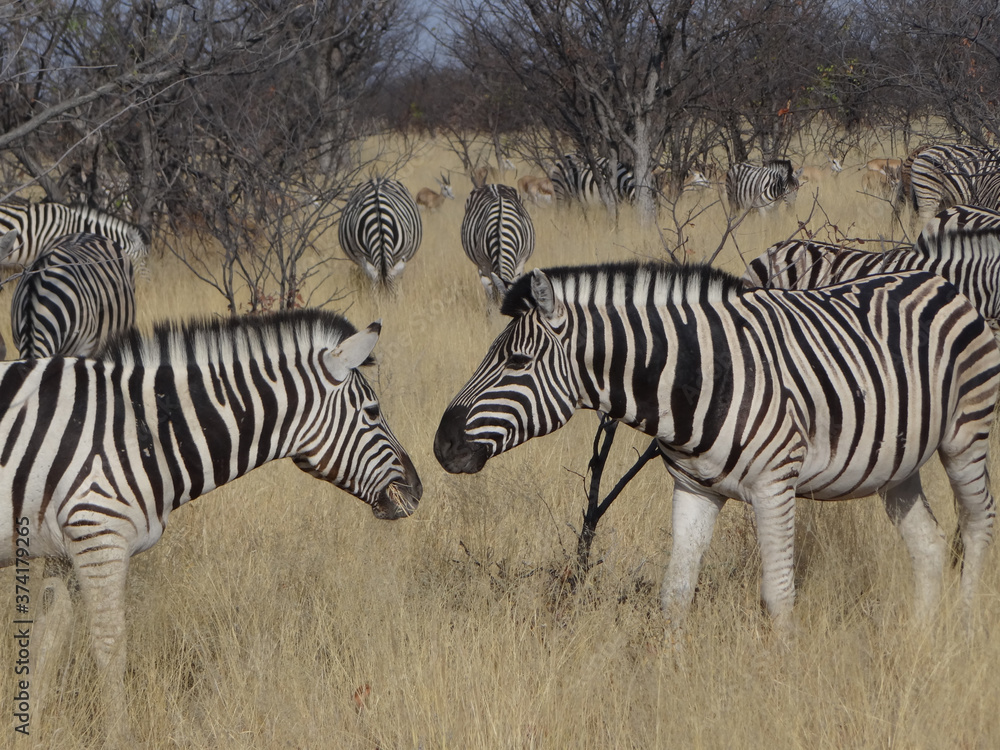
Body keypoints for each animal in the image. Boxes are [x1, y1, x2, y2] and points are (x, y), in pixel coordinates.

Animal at [0, 309, 421, 719]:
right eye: (372, 411)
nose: (416, 491)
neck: (145, 429)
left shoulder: (64, 548)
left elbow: (46, 640)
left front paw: (31, 725)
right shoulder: (98, 535)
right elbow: (110, 647)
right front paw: (118, 732)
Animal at [434, 262, 1000, 631]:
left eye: (518, 362)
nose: (442, 444)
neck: (696, 376)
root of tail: (937, 281)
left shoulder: (775, 485)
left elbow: (778, 595)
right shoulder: (695, 488)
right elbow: (675, 593)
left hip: (965, 438)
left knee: (977, 525)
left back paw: (964, 633)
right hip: (895, 464)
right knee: (929, 546)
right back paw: (921, 643)